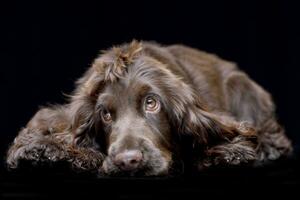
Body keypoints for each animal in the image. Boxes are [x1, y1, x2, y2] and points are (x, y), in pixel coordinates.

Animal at [6, 41, 292, 176]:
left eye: (151, 103)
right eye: (105, 114)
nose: (127, 161)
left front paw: (227, 153)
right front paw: (41, 150)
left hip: (240, 85)